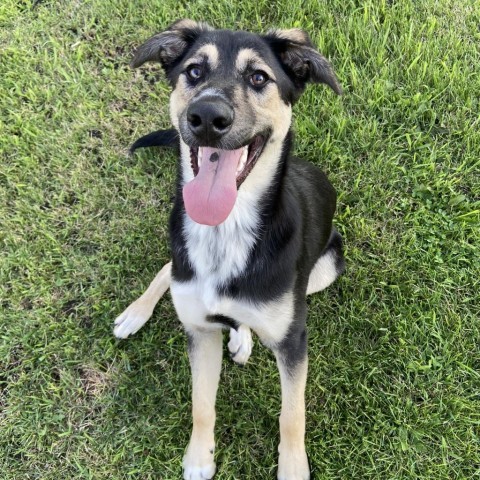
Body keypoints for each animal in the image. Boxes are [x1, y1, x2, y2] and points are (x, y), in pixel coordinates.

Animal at [112, 19, 344, 480]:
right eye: (194, 71)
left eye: (258, 78)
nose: (206, 117)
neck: (226, 231)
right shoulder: (200, 332)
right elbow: (201, 404)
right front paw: (199, 458)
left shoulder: (293, 340)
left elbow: (293, 415)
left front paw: (293, 468)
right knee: (168, 269)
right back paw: (136, 313)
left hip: (326, 266)